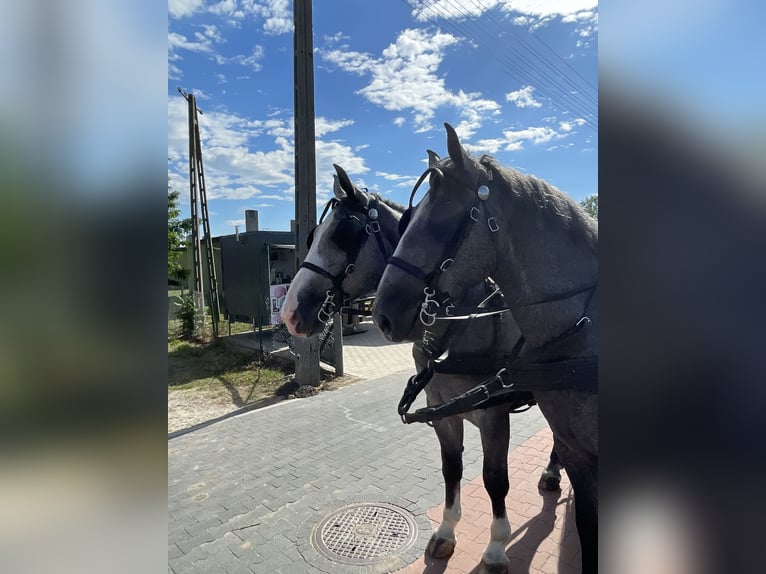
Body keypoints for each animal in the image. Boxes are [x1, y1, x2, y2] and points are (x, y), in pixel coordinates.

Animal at [282, 164, 564, 572]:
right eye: (313, 235)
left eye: (342, 235)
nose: (289, 312)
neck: (459, 322)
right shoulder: (442, 411)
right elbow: (452, 470)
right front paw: (446, 532)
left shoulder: (493, 414)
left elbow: (495, 479)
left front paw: (496, 547)